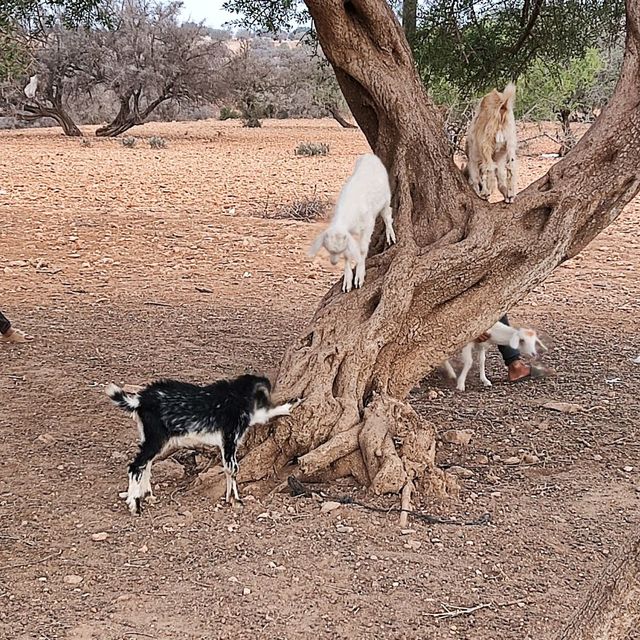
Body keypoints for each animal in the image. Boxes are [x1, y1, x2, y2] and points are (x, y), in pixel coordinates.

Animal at [106, 376, 302, 516]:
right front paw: (236, 500)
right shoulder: (230, 437)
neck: (236, 396)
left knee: (146, 463)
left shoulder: (227, 439)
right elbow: (233, 468)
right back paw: (135, 504)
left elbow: (227, 468)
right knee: (136, 465)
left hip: (151, 437)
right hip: (156, 437)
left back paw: (146, 494)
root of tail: (140, 400)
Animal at [308, 152, 396, 292]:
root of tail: (370, 156)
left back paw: (390, 236)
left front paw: (359, 278)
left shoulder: (368, 225)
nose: (333, 262)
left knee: (387, 214)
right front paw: (347, 283)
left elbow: (362, 249)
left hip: (386, 198)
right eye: (329, 249)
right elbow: (348, 254)